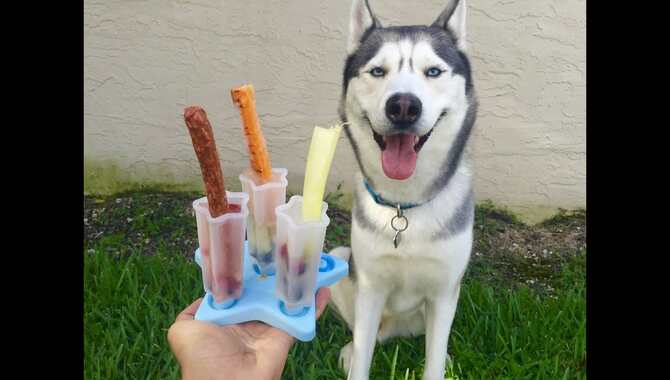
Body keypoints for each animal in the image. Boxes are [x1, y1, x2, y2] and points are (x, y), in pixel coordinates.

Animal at [330, 0, 478, 378]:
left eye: (434, 71)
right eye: (377, 71)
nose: (403, 106)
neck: (404, 206)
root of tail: (394, 331)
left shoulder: (445, 290)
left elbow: (434, 359)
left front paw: (440, 365)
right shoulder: (370, 285)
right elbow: (363, 355)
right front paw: (355, 358)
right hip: (341, 258)